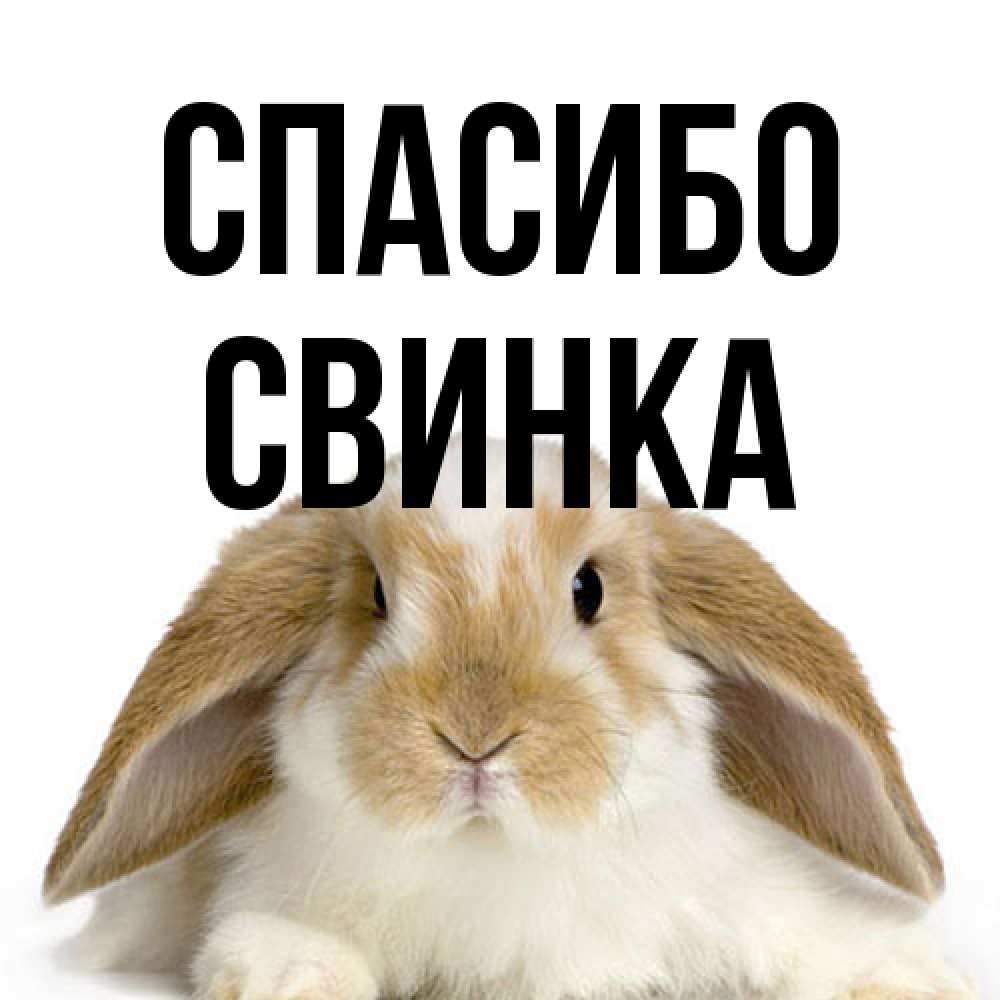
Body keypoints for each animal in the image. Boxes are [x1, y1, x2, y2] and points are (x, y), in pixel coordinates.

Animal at [45, 437, 975, 1000]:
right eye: (376, 596)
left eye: (589, 589)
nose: (475, 737)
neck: (495, 857)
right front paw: (290, 977)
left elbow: (817, 939)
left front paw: (909, 977)